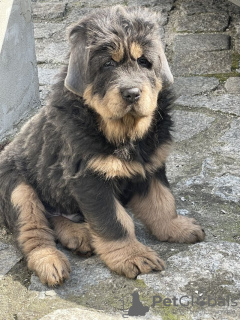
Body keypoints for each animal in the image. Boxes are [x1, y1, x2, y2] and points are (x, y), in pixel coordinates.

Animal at [0, 5, 204, 284]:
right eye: (108, 64)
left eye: (144, 62)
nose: (132, 93)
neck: (125, 133)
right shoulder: (91, 179)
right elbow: (114, 221)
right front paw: (132, 256)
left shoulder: (151, 165)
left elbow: (162, 202)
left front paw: (176, 227)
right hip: (18, 188)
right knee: (34, 229)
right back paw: (50, 261)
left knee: (53, 218)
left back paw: (79, 235)